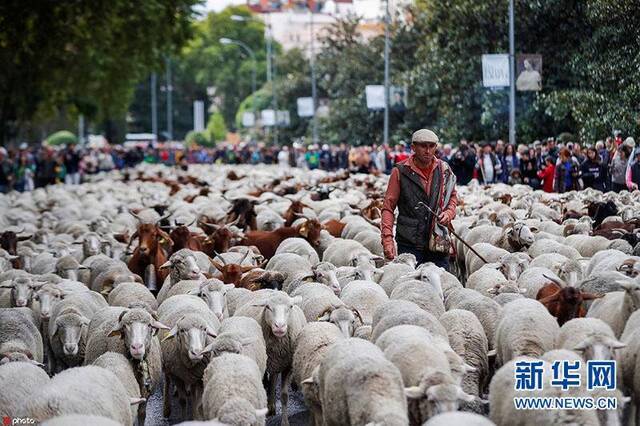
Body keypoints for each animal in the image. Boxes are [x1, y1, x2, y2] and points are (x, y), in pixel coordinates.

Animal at [234, 290, 306, 422]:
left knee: (273, 379)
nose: (279, 326)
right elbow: (265, 385)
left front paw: (285, 422)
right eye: (267, 307)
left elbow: (284, 395)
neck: (278, 345)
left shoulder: (288, 366)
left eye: (290, 306)